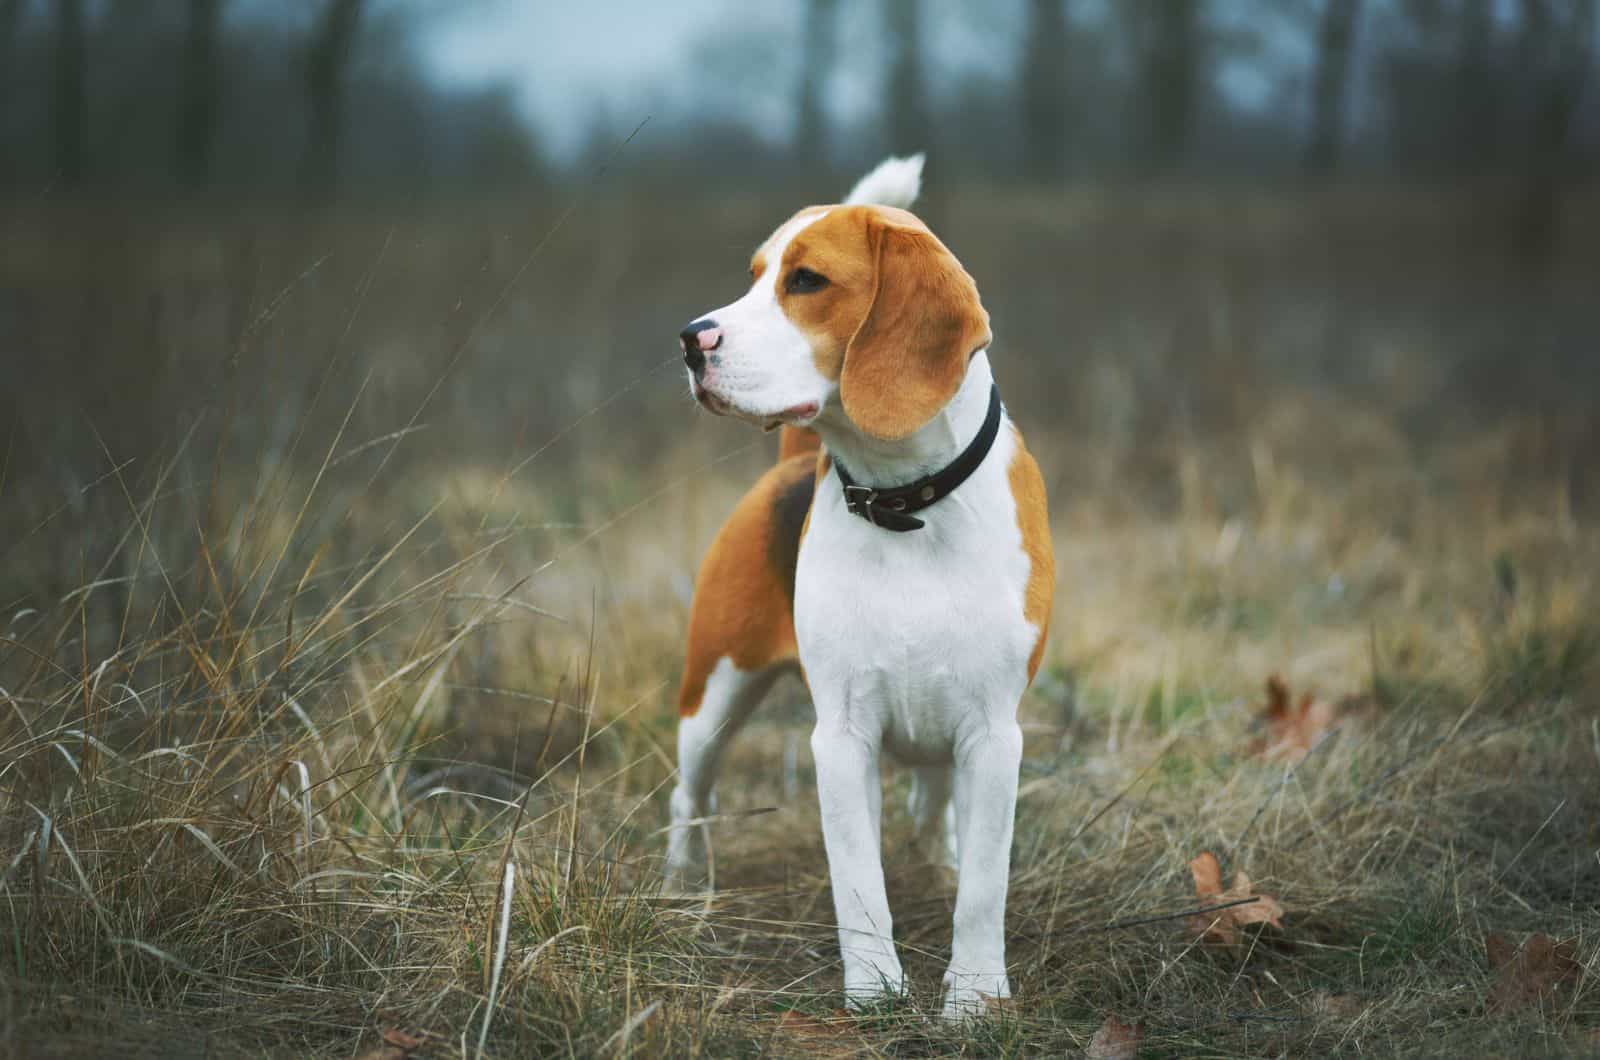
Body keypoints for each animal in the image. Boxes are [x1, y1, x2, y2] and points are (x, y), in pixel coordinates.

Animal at [662, 156, 1049, 1024]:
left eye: (806, 280)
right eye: (754, 277)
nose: (692, 339)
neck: (906, 504)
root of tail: (791, 464)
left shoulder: (993, 736)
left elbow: (985, 883)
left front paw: (975, 997)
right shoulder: (840, 738)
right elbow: (857, 881)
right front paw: (875, 988)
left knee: (935, 803)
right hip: (714, 694)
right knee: (688, 795)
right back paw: (678, 887)